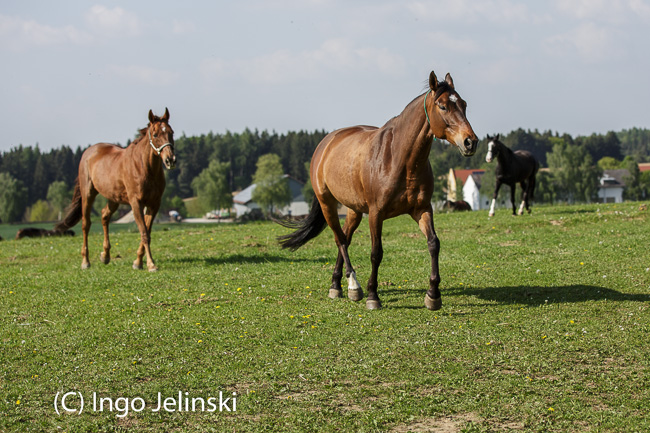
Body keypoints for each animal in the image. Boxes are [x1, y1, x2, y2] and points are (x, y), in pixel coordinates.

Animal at [55, 108, 176, 271]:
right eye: (155, 134)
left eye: (171, 132)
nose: (170, 159)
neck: (144, 168)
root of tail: (88, 152)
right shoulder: (136, 203)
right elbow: (144, 233)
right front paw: (151, 264)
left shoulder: (154, 204)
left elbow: (147, 232)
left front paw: (138, 262)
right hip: (88, 194)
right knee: (86, 224)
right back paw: (85, 261)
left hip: (113, 199)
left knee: (104, 216)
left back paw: (105, 256)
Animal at [276, 71, 479, 310]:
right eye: (443, 106)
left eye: (464, 104)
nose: (470, 142)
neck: (399, 158)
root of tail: (326, 143)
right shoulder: (376, 213)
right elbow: (376, 253)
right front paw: (373, 295)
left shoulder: (422, 209)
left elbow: (433, 244)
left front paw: (433, 294)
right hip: (328, 204)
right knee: (340, 240)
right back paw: (354, 286)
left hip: (354, 210)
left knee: (345, 238)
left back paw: (337, 285)